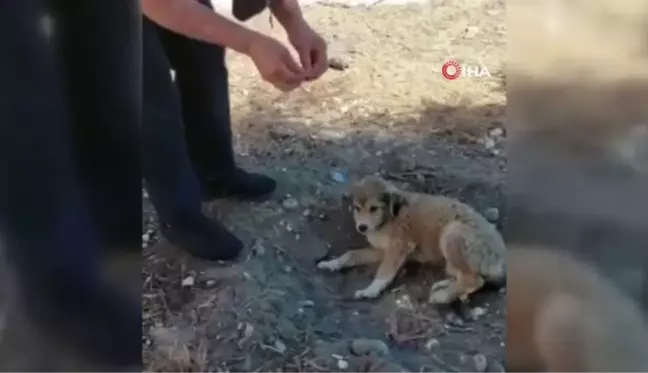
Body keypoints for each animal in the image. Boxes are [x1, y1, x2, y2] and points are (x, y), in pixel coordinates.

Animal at [316, 175, 508, 302]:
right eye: (357, 208)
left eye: (374, 208)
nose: (362, 227)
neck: (389, 217)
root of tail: (501, 254)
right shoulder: (383, 250)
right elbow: (352, 254)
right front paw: (332, 263)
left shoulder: (399, 247)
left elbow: (384, 271)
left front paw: (370, 290)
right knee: (469, 277)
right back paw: (445, 286)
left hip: (452, 233)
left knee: (474, 279)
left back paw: (443, 296)